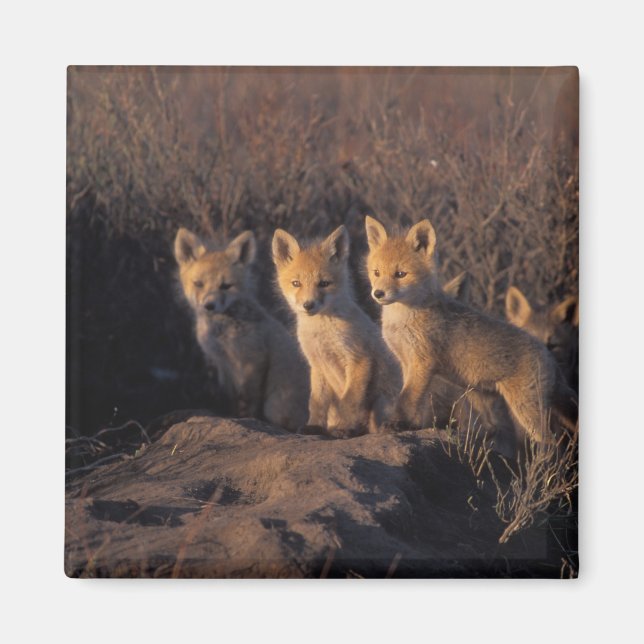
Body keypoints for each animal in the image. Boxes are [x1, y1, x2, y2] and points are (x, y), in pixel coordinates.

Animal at [174, 227, 308, 430]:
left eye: (226, 286)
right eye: (198, 284)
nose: (209, 306)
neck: (222, 337)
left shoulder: (252, 362)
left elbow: (247, 402)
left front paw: (245, 419)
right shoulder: (222, 365)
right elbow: (229, 398)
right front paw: (230, 417)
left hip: (275, 404)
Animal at [272, 225, 402, 437]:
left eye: (324, 284)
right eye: (296, 283)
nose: (308, 305)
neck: (322, 334)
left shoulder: (359, 359)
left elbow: (349, 402)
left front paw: (343, 428)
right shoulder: (317, 365)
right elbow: (316, 403)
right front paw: (314, 426)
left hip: (381, 401)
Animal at [364, 215, 577, 445]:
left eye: (400, 274)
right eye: (376, 272)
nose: (378, 293)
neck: (402, 320)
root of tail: (548, 355)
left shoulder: (423, 362)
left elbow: (406, 400)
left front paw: (395, 424)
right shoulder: (407, 362)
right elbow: (414, 402)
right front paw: (411, 426)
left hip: (526, 410)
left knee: (552, 443)